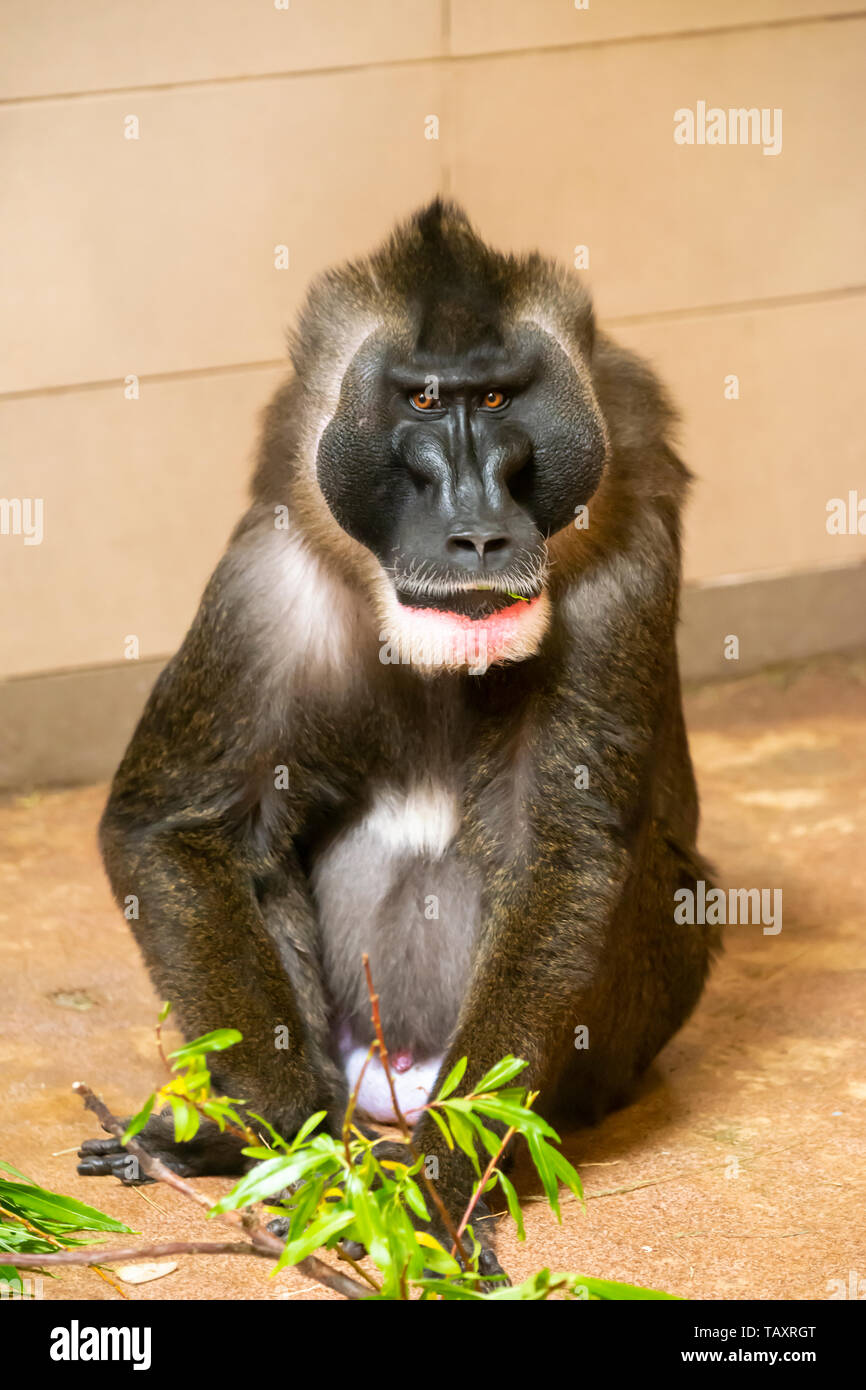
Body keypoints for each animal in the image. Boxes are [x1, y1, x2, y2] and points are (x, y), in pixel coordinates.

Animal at [79, 202, 717, 1262]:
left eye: (495, 399)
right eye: (421, 401)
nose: (478, 531)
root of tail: (399, 1075)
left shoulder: (621, 568)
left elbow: (564, 853)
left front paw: (432, 1187)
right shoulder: (265, 584)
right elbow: (177, 828)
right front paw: (288, 1145)